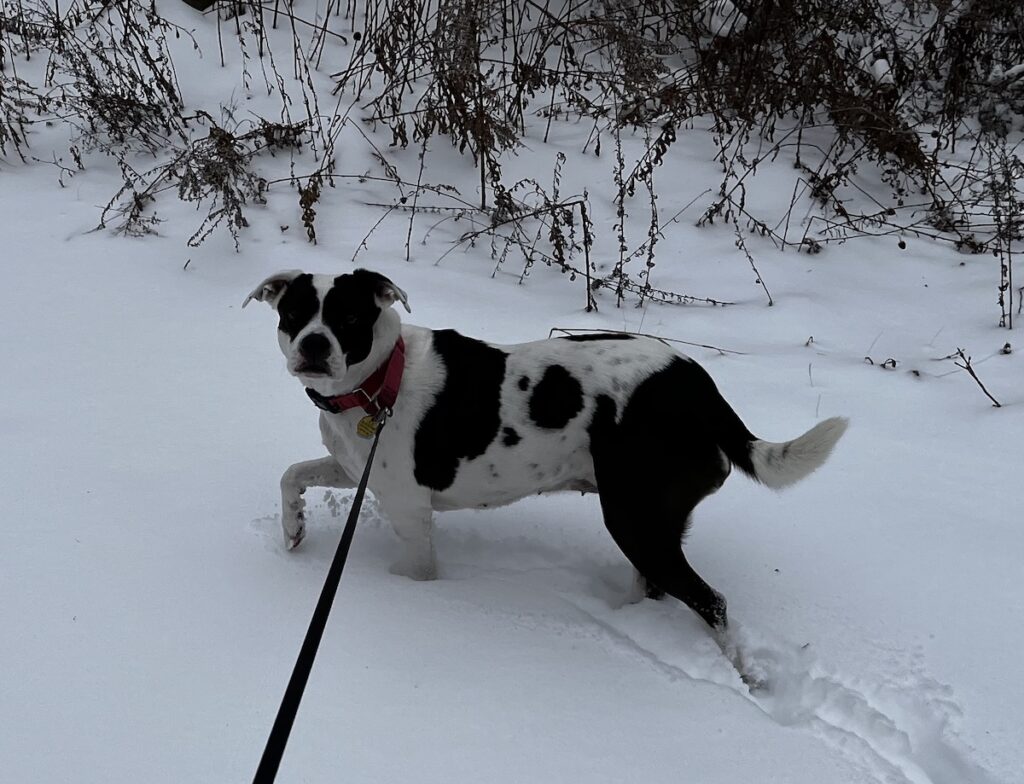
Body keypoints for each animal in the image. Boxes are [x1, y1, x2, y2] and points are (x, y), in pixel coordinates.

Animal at [243, 268, 843, 671]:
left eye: (347, 318)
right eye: (294, 315)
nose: (313, 344)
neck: (378, 380)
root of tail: (697, 386)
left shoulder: (409, 510)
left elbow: (415, 574)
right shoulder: (355, 469)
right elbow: (292, 474)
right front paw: (293, 529)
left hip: (634, 519)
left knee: (711, 602)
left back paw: (740, 674)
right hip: (647, 518)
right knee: (656, 588)